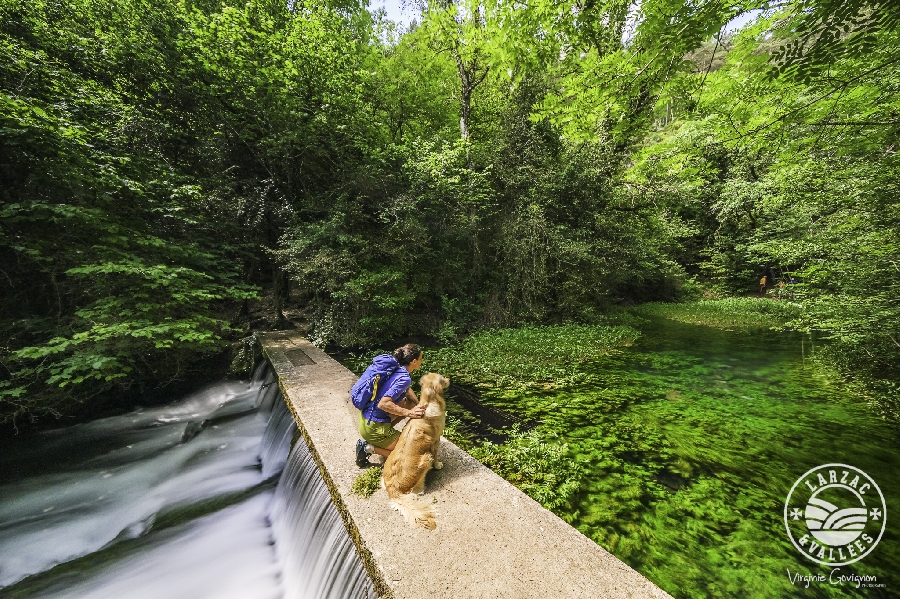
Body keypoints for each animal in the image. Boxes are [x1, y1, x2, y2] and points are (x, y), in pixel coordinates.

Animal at [380, 372, 450, 532]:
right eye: (442, 378)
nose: (449, 379)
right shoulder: (436, 440)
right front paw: (438, 465)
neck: (428, 403)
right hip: (425, 458)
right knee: (416, 491)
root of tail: (393, 492)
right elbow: (436, 454)